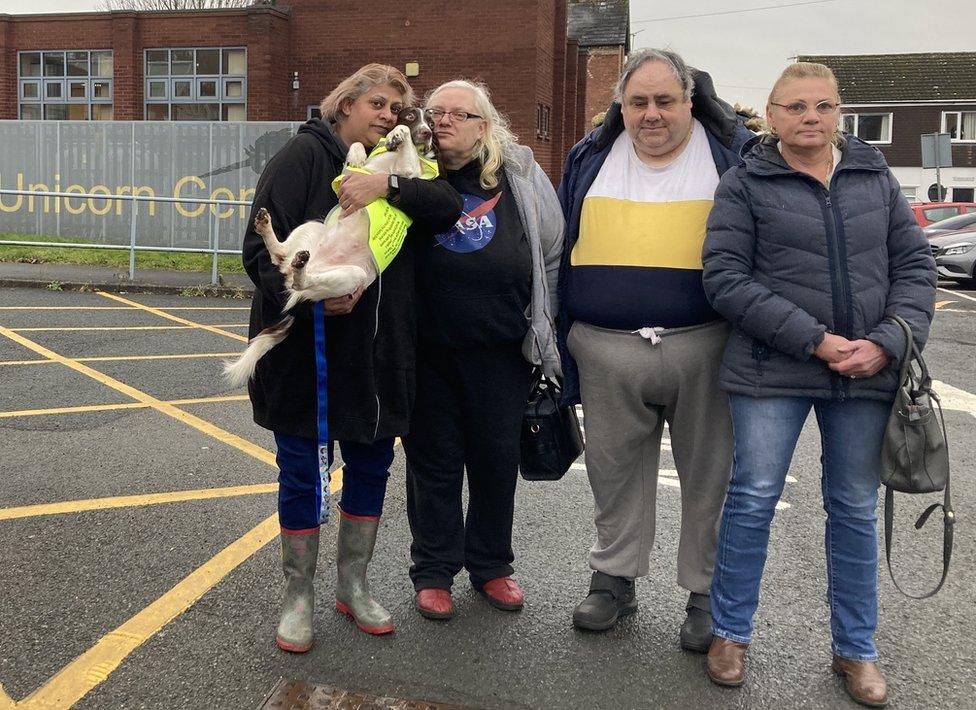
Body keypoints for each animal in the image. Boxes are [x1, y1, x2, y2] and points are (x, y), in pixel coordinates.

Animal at [225, 110, 434, 390]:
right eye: (411, 115)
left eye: (432, 123)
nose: (428, 133)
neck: (391, 159)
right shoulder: (348, 179)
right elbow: (356, 149)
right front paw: (380, 143)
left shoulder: (408, 173)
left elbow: (406, 153)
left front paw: (398, 136)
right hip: (312, 228)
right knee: (280, 256)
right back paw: (270, 231)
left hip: (353, 275)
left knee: (299, 279)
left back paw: (300, 268)